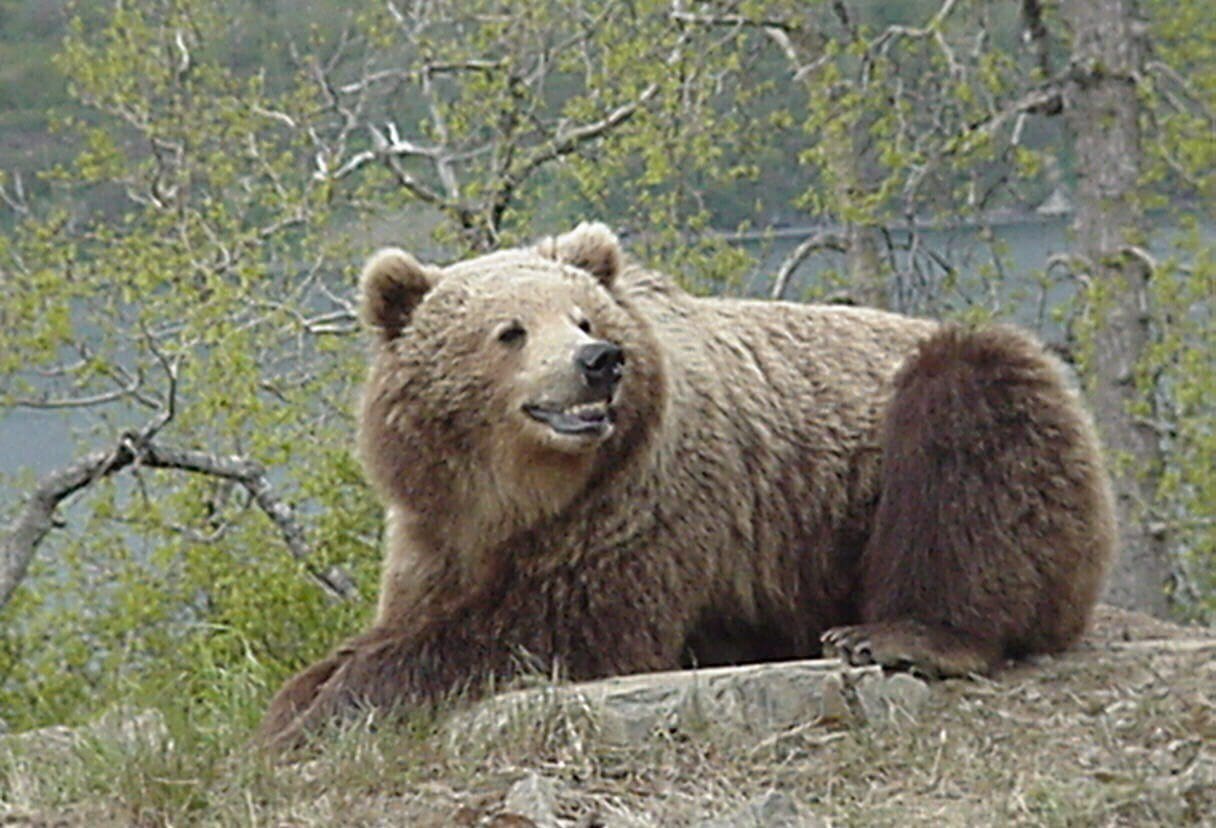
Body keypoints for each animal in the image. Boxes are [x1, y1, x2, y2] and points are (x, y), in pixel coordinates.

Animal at [261, 222, 1113, 744]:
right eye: (510, 330)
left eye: (583, 317)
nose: (598, 363)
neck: (518, 496)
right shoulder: (435, 532)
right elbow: (402, 623)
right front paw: (305, 694)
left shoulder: (644, 507)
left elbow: (550, 632)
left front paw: (336, 707)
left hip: (923, 438)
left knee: (975, 437)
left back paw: (897, 635)